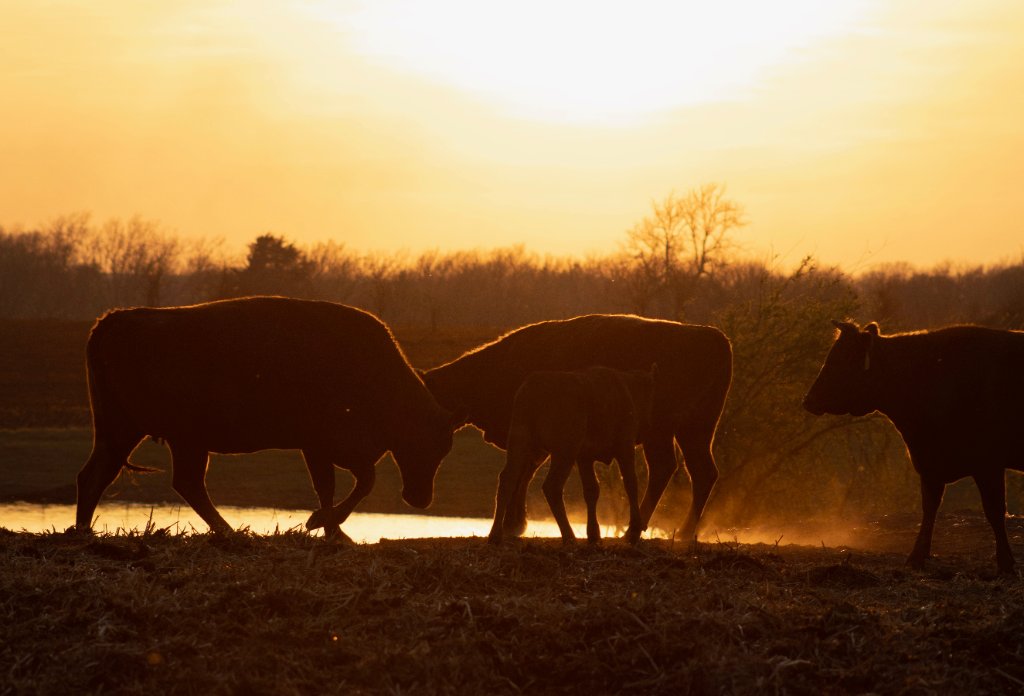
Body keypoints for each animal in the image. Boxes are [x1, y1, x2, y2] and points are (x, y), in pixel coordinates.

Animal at [75, 296, 455, 540]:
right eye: (430, 445)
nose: (420, 499)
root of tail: (115, 319)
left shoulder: (319, 448)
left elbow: (333, 486)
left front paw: (331, 529)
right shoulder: (330, 444)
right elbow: (359, 482)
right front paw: (323, 524)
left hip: (131, 433)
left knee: (100, 475)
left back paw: (84, 531)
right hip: (160, 435)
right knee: (179, 482)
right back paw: (230, 531)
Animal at [489, 365, 656, 545]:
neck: (628, 389)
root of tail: (533, 388)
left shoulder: (584, 457)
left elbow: (592, 490)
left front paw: (593, 534)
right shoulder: (624, 447)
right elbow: (631, 484)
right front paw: (635, 527)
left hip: (521, 443)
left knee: (507, 479)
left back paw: (495, 535)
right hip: (564, 452)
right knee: (552, 486)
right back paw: (569, 536)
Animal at [803, 320, 1024, 574]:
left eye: (840, 359)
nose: (808, 400)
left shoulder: (988, 463)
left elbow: (995, 512)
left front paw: (1006, 564)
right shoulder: (930, 465)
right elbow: (929, 509)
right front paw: (917, 557)